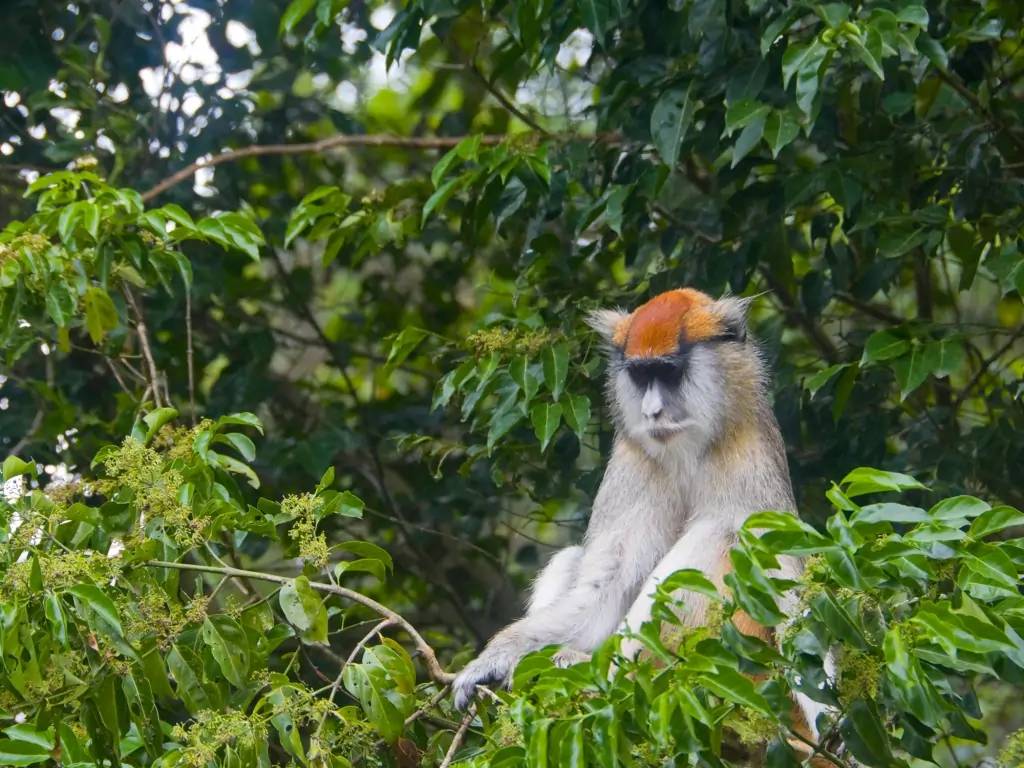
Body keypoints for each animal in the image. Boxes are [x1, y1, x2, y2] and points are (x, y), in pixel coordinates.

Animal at [452, 286, 827, 741]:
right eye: (639, 375)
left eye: (668, 373)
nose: (651, 412)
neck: (690, 449)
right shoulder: (636, 460)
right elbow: (603, 584)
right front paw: (494, 659)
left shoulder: (749, 459)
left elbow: (786, 585)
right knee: (572, 559)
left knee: (713, 536)